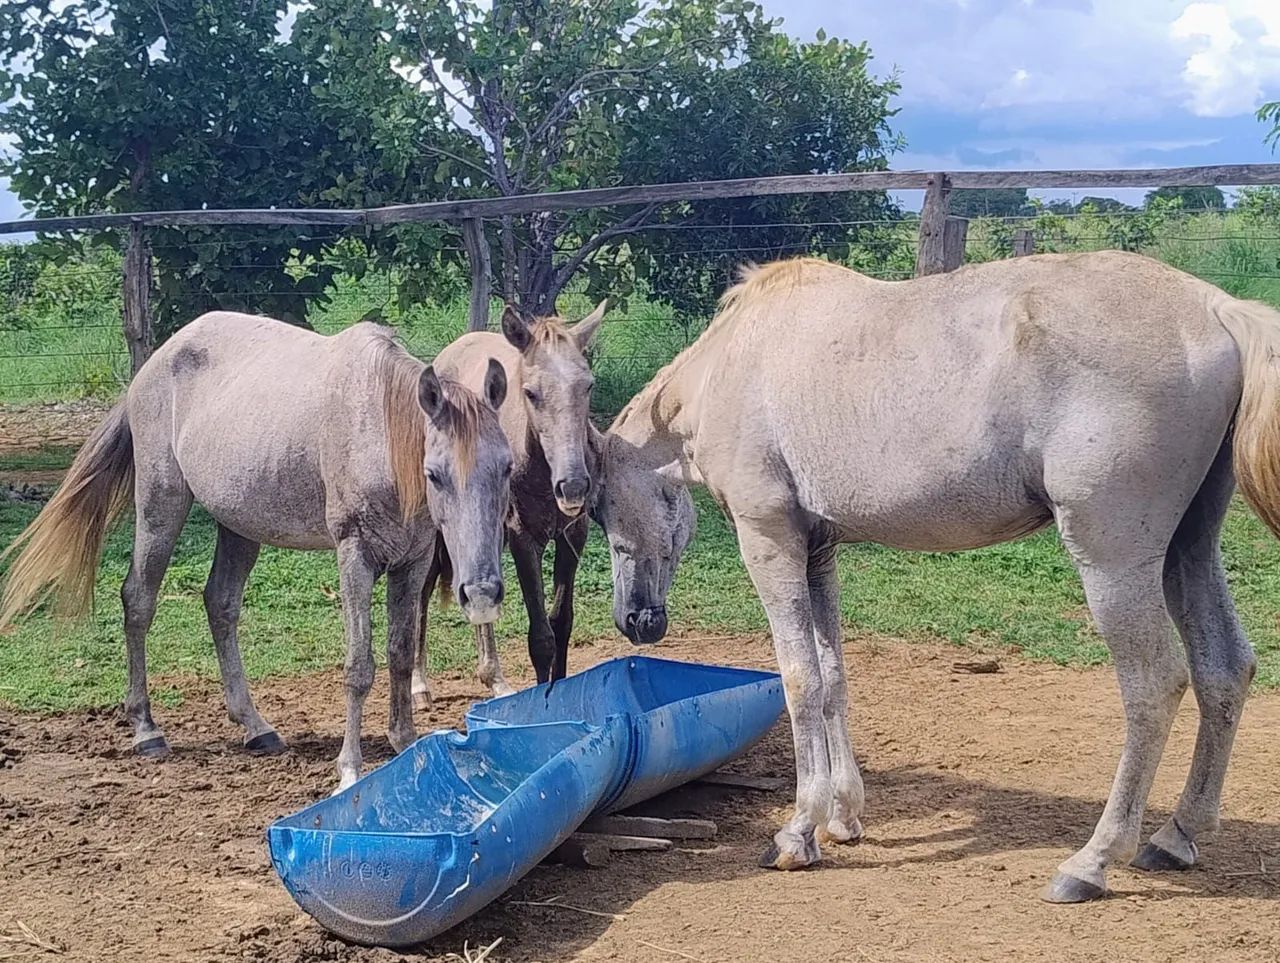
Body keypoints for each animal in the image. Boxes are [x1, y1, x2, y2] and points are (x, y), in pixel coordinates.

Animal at [0, 312, 513, 791]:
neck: (377, 431)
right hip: (161, 504)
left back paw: (255, 726)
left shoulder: (413, 560)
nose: (482, 593)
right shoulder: (355, 556)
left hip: (239, 526)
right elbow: (359, 665)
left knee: (220, 604)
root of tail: (153, 365)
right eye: (434, 474)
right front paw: (349, 767)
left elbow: (401, 653)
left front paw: (405, 743)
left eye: (507, 467)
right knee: (138, 600)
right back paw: (146, 729)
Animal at [413, 301, 606, 701]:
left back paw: (494, 677)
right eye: (530, 393)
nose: (573, 486)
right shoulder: (523, 539)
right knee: (422, 590)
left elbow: (561, 623)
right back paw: (420, 684)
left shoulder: (573, 536)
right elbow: (541, 638)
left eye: (588, 386)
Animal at [590, 249, 1280, 902]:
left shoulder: (771, 541)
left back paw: (1092, 861)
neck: (732, 363)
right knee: (1224, 668)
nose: (634, 620)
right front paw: (843, 816)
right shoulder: (819, 550)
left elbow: (800, 680)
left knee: (1155, 685)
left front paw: (798, 831)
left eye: (600, 511)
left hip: (1113, 561)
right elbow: (833, 677)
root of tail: (1216, 309)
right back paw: (1177, 835)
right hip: (1188, 550)